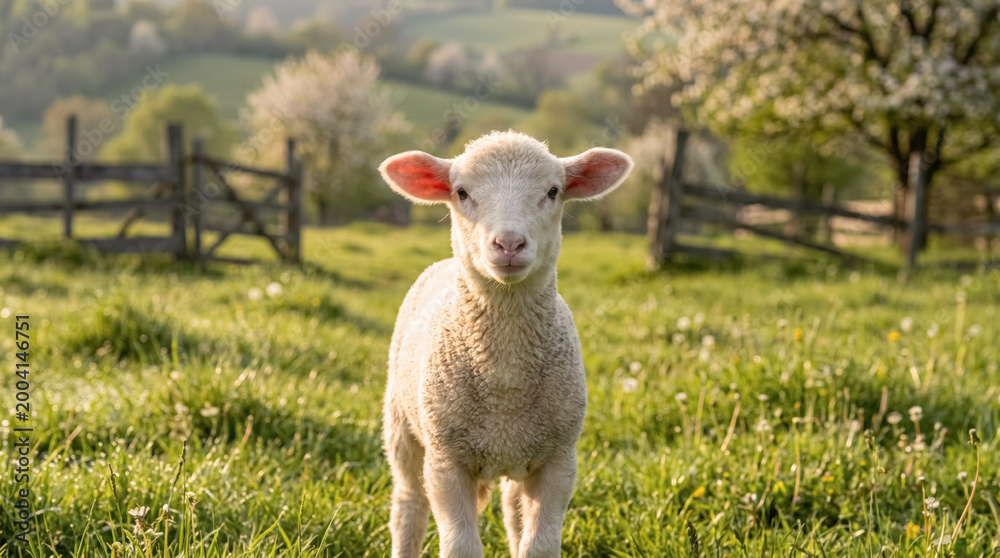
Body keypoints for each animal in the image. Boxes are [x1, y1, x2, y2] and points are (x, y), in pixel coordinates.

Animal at [378, 131, 633, 558]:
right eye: (461, 192)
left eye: (553, 191)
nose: (510, 244)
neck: (506, 382)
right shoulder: (446, 461)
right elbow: (461, 548)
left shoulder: (559, 461)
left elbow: (539, 547)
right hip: (403, 427)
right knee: (408, 505)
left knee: (513, 514)